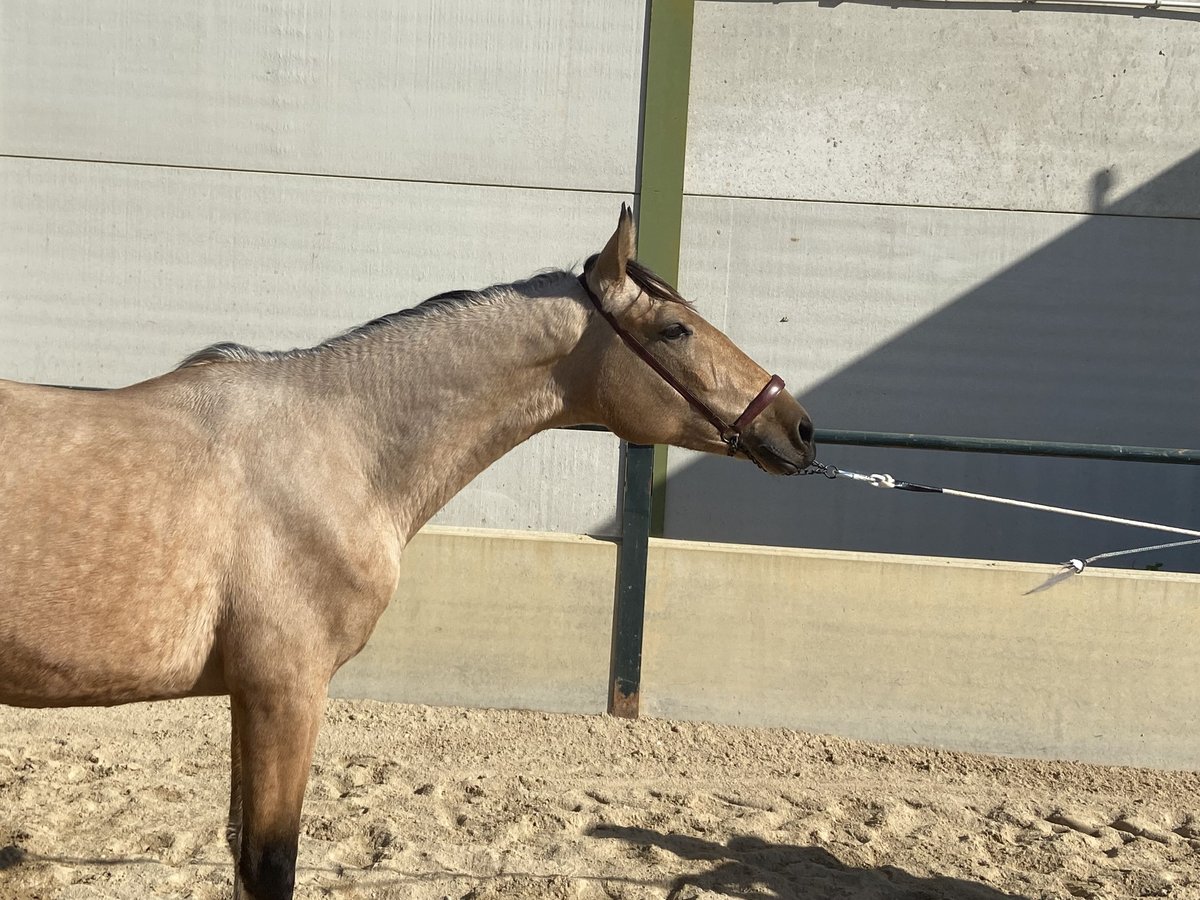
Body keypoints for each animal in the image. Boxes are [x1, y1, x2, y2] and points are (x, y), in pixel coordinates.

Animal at [0, 206, 816, 900]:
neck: (338, 447)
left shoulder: (252, 696)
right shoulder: (284, 691)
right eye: (676, 329)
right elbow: (268, 864)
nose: (797, 425)